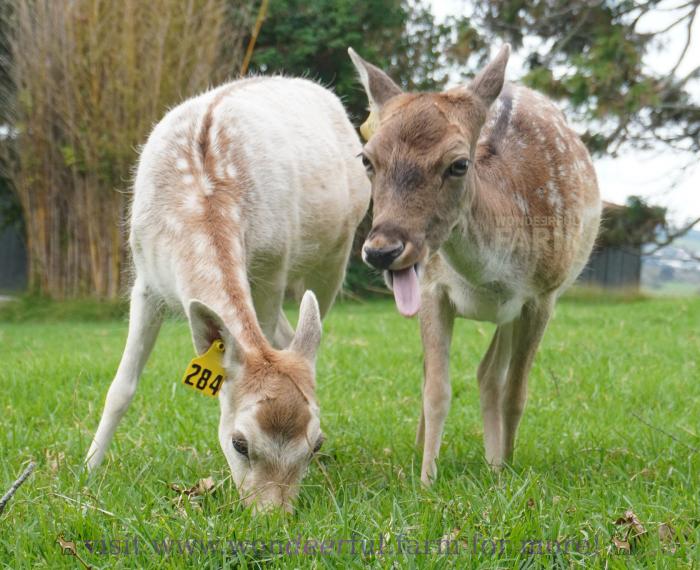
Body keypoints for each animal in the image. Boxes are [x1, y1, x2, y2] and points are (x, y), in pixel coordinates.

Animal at [85, 76, 370, 512]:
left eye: (315, 445)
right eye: (240, 443)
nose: (272, 515)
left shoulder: (271, 267)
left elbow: (262, 340)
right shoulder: (146, 281)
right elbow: (121, 387)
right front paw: (87, 469)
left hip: (335, 252)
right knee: (290, 336)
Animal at [348, 45, 601, 485]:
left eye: (459, 164)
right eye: (367, 159)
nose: (381, 250)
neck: (488, 279)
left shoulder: (543, 296)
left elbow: (516, 391)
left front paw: (508, 465)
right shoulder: (432, 290)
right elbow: (436, 389)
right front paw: (426, 478)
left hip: (516, 312)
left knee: (492, 375)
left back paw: (495, 461)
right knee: (469, 373)